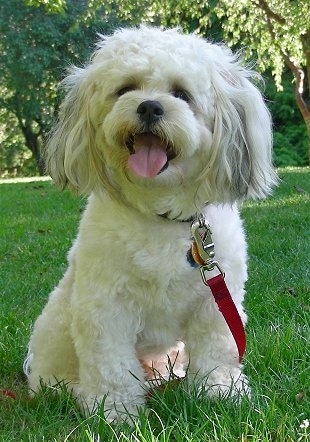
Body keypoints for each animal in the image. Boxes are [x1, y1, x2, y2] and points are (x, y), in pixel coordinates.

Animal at [23, 25, 276, 422]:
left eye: (182, 94)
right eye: (125, 88)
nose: (149, 106)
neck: (162, 215)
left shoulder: (216, 303)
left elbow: (217, 350)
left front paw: (221, 392)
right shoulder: (105, 307)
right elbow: (110, 364)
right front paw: (114, 410)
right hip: (59, 328)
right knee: (55, 377)